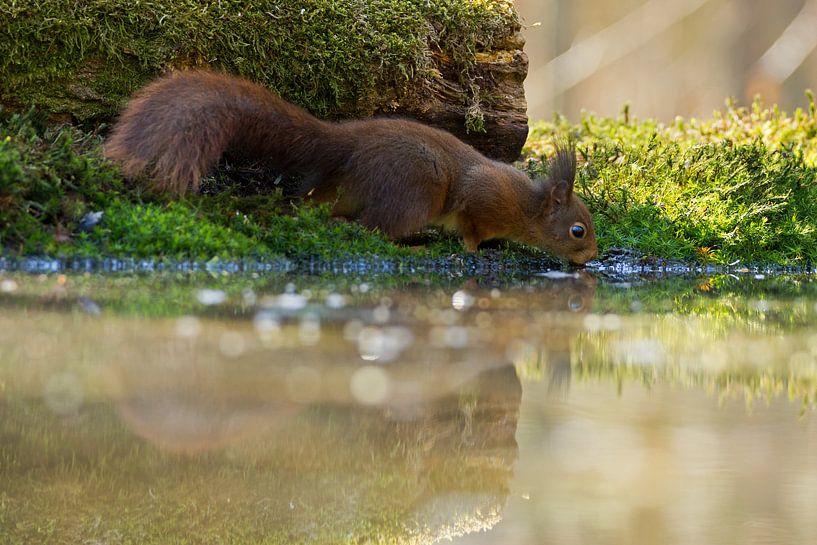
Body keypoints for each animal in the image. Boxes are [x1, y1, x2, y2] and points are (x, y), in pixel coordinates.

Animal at [105, 69, 596, 264]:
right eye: (578, 230)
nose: (591, 257)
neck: (527, 207)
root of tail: (345, 144)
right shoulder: (482, 200)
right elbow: (472, 230)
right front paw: (477, 251)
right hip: (415, 192)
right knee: (374, 229)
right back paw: (413, 247)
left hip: (340, 187)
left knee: (319, 206)